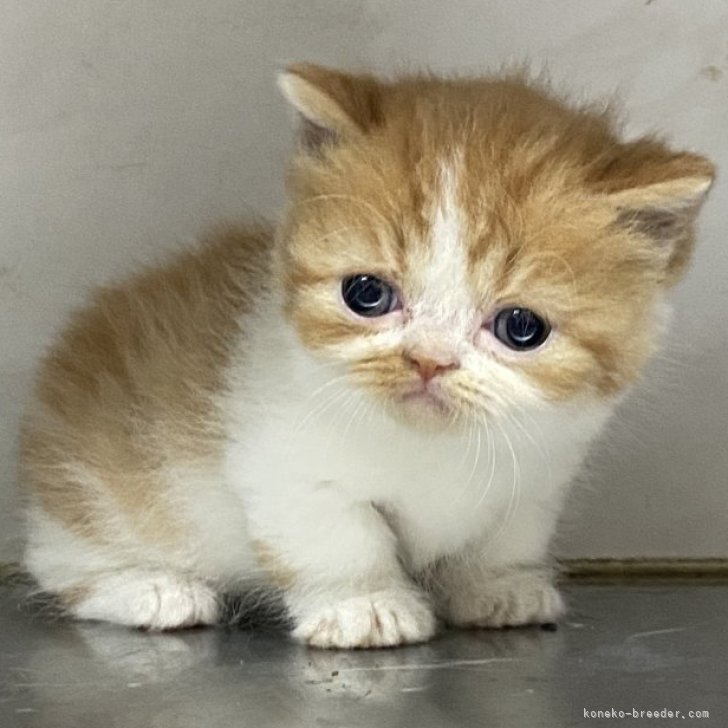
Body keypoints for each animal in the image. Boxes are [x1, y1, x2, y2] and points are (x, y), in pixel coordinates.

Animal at [19, 64, 712, 648]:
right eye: (367, 294)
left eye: (521, 328)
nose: (429, 361)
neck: (435, 444)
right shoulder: (282, 460)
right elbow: (338, 535)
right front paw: (364, 605)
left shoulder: (539, 473)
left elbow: (504, 535)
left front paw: (497, 587)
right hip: (101, 491)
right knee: (60, 564)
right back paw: (153, 589)